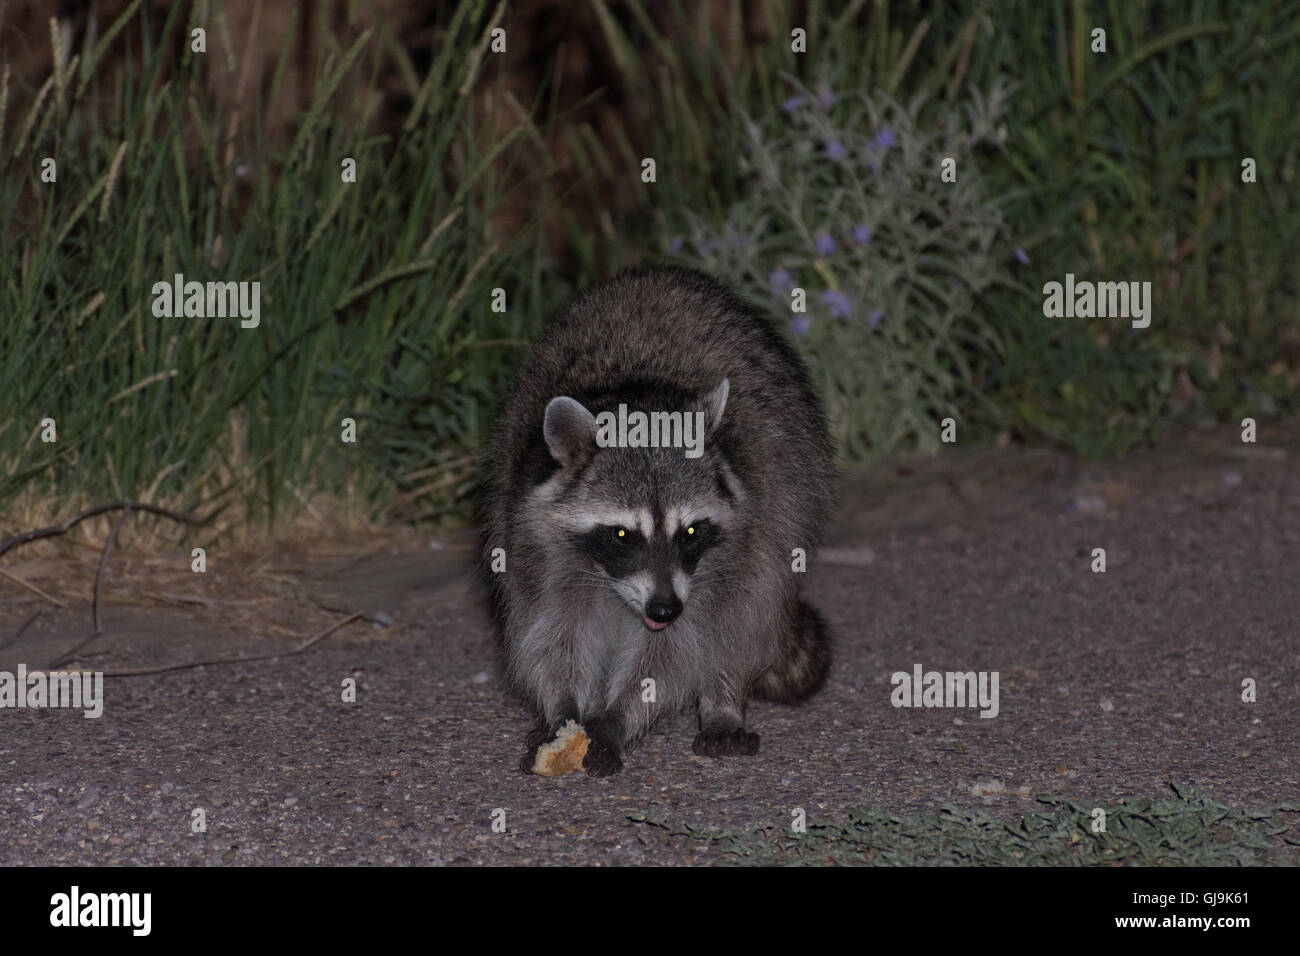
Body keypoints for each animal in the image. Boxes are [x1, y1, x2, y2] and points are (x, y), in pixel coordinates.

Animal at [483, 265, 837, 775]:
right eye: (622, 535)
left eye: (689, 531)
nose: (665, 609)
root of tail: (661, 275)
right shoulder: (534, 540)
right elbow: (553, 635)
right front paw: (562, 710)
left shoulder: (725, 554)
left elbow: (675, 652)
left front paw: (615, 719)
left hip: (784, 500)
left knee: (751, 609)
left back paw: (723, 700)